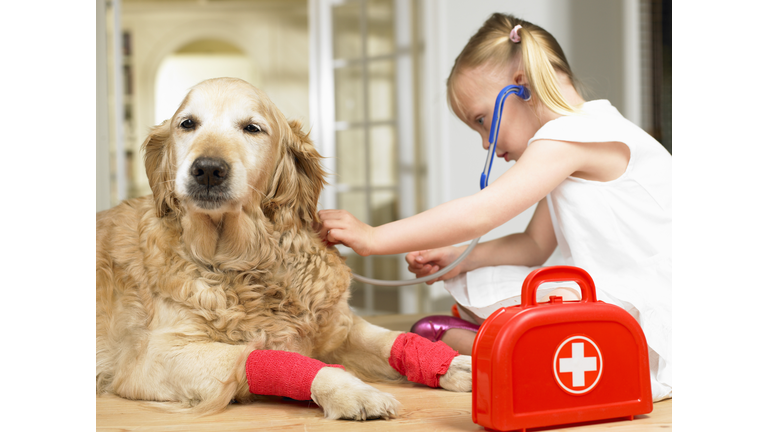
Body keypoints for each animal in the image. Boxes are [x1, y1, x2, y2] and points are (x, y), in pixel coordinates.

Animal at [96, 77, 468, 418]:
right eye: (187, 124)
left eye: (252, 128)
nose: (208, 169)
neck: (244, 263)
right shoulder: (152, 357)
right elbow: (269, 357)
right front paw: (352, 390)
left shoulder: (342, 326)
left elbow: (388, 338)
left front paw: (452, 364)